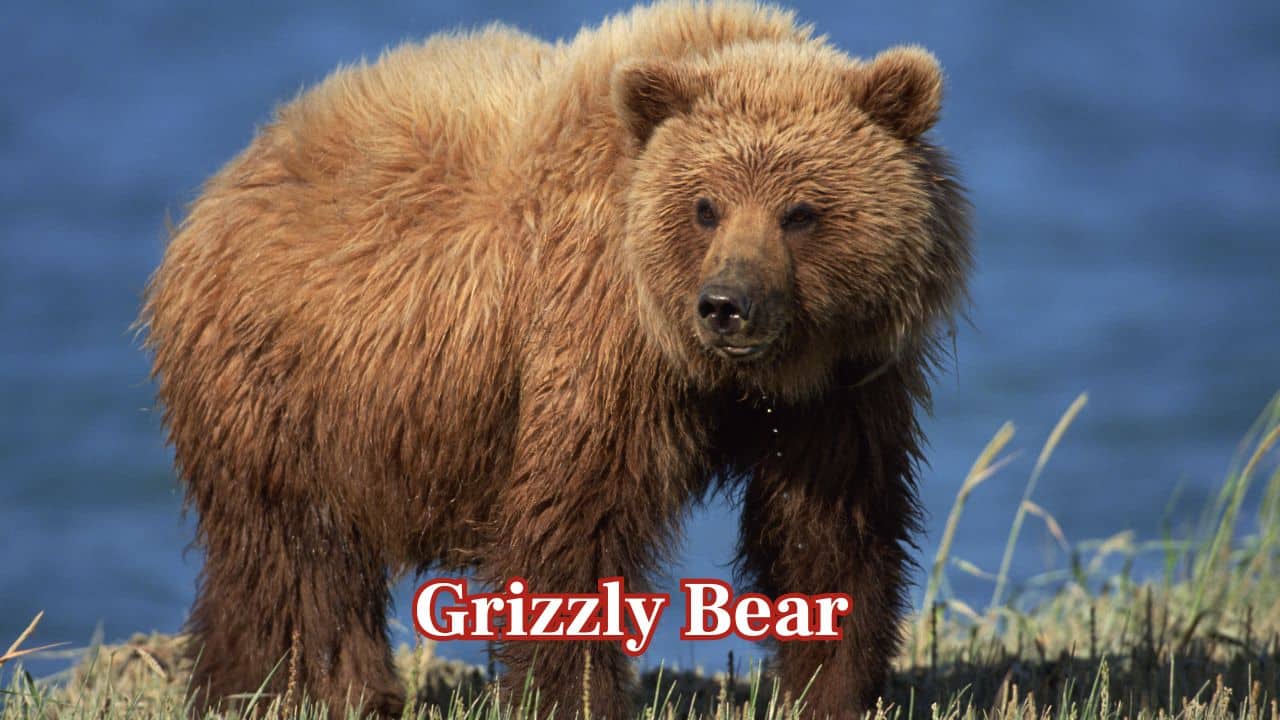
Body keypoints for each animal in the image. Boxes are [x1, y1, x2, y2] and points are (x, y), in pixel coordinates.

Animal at [140, 2, 971, 718]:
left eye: (801, 211)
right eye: (705, 206)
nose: (726, 304)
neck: (726, 376)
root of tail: (224, 183)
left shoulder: (843, 384)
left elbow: (829, 530)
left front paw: (834, 688)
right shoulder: (598, 339)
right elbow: (575, 523)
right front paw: (576, 695)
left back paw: (241, 686)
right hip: (285, 386)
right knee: (296, 559)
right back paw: (316, 692)